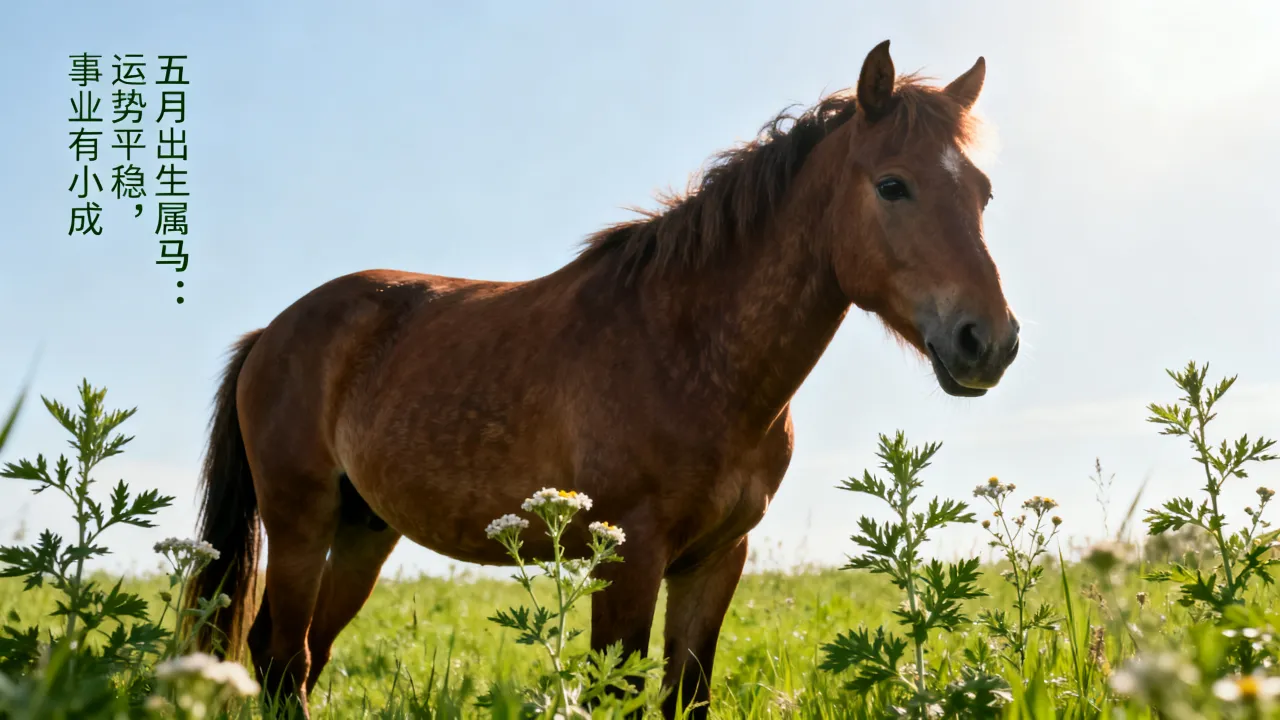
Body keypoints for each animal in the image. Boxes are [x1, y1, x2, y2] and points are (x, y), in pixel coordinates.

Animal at [186, 39, 1019, 718]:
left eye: (983, 193)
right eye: (892, 185)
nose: (990, 341)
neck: (691, 353)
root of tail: (273, 333)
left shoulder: (715, 561)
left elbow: (686, 697)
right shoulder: (629, 558)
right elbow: (612, 693)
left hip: (362, 533)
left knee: (299, 658)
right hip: (301, 521)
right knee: (280, 657)